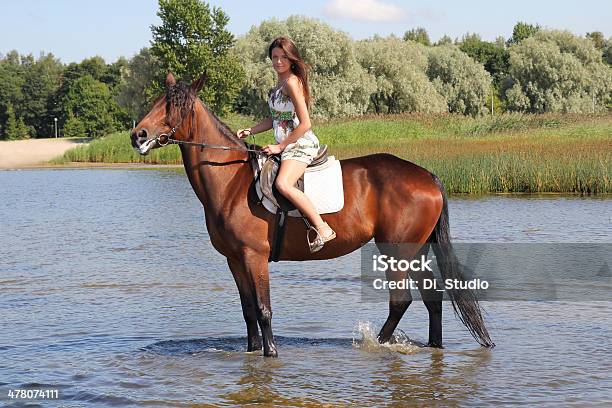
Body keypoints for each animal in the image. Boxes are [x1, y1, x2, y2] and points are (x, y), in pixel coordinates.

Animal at [130, 74, 492, 356]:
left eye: (177, 107)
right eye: (158, 100)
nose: (138, 135)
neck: (231, 181)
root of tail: (426, 175)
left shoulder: (254, 256)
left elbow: (263, 309)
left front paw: (271, 353)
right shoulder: (235, 259)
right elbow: (248, 311)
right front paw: (251, 351)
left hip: (397, 251)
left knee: (401, 301)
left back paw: (376, 343)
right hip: (417, 250)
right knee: (432, 298)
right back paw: (433, 346)